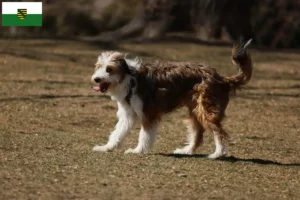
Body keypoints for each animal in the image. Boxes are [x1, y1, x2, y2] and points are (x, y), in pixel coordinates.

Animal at [90, 38, 252, 159]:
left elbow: (144, 135)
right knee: (198, 134)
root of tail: (221, 78)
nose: (97, 79)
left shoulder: (149, 113)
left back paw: (218, 154)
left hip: (207, 110)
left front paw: (138, 150)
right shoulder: (128, 114)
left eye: (109, 69)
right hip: (195, 111)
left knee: (219, 132)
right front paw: (107, 147)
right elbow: (117, 132)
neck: (129, 78)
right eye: (98, 67)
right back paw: (186, 151)